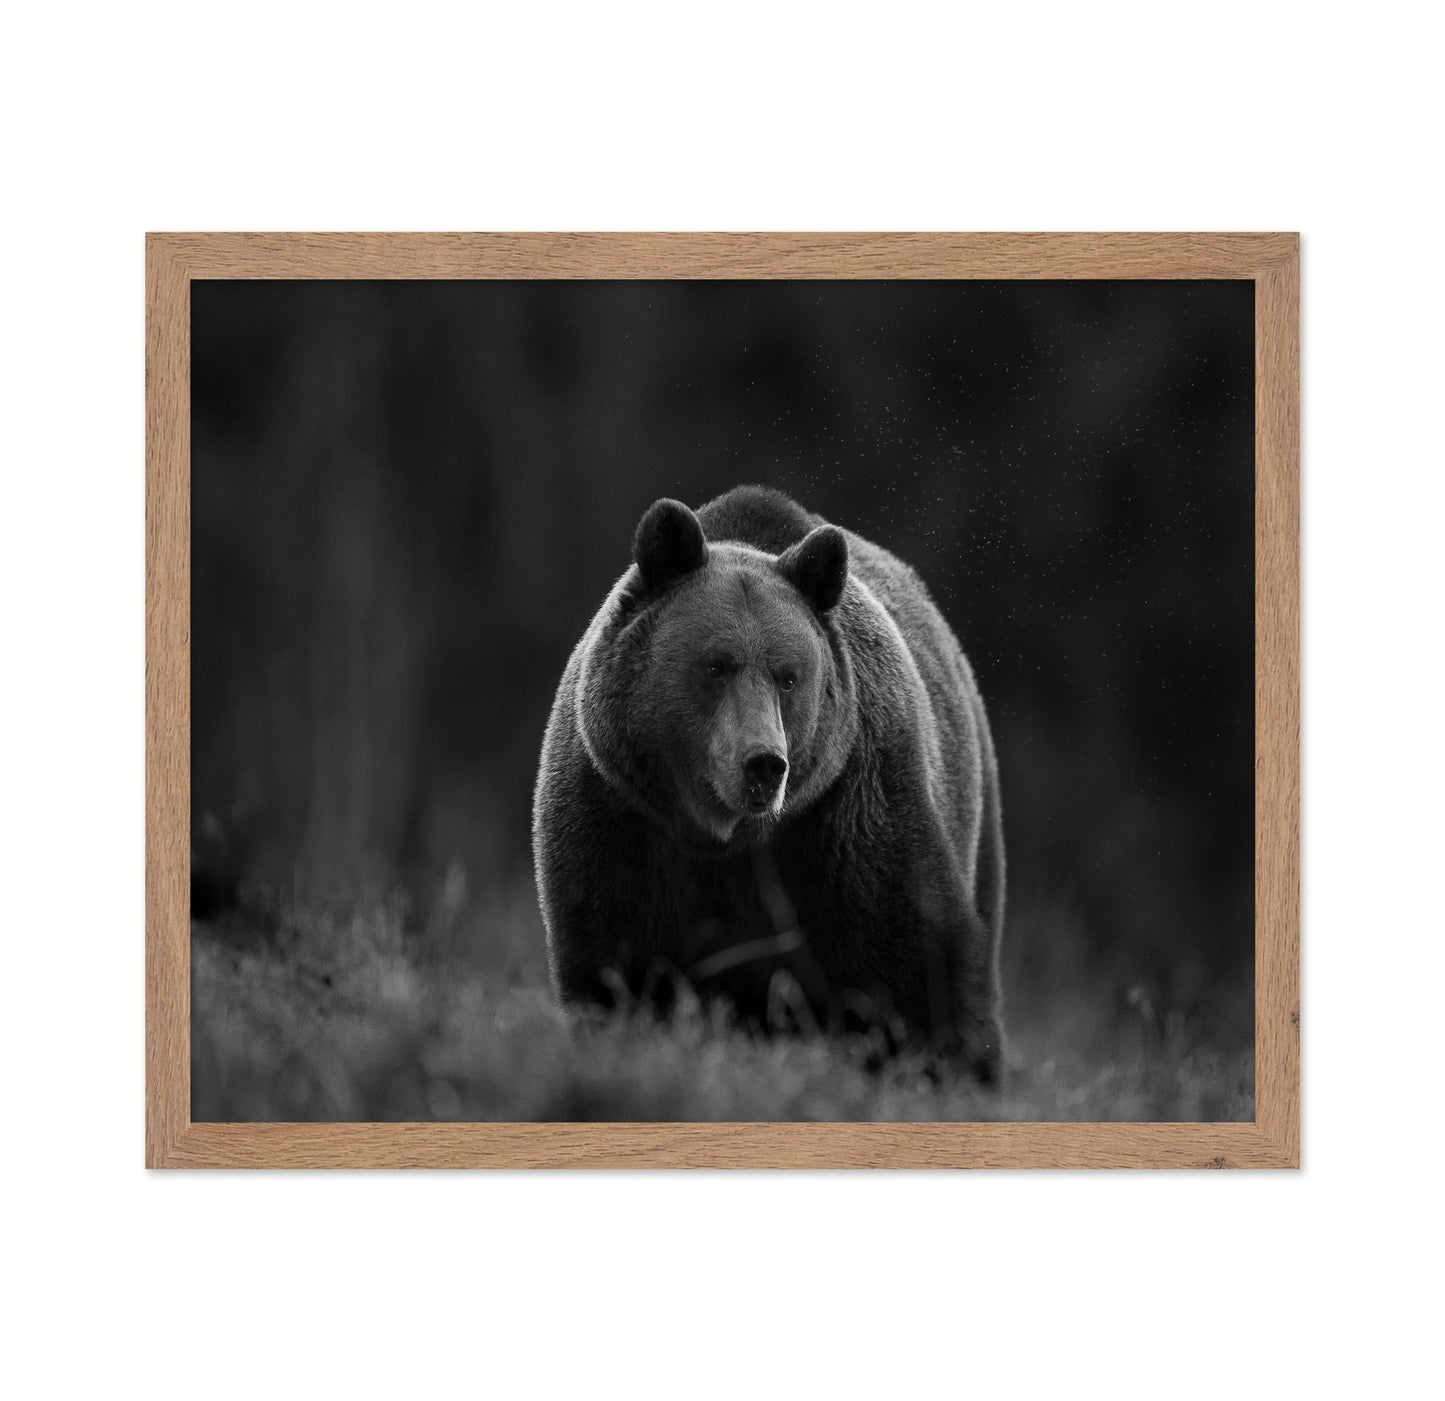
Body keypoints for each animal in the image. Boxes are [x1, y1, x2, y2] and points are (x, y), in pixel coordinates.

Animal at [532, 484, 1005, 1083]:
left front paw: (955, 1066)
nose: (764, 763)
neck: (725, 838)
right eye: (716, 665)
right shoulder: (618, 823)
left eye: (788, 676)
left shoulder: (849, 820)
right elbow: (615, 973)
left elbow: (918, 963)